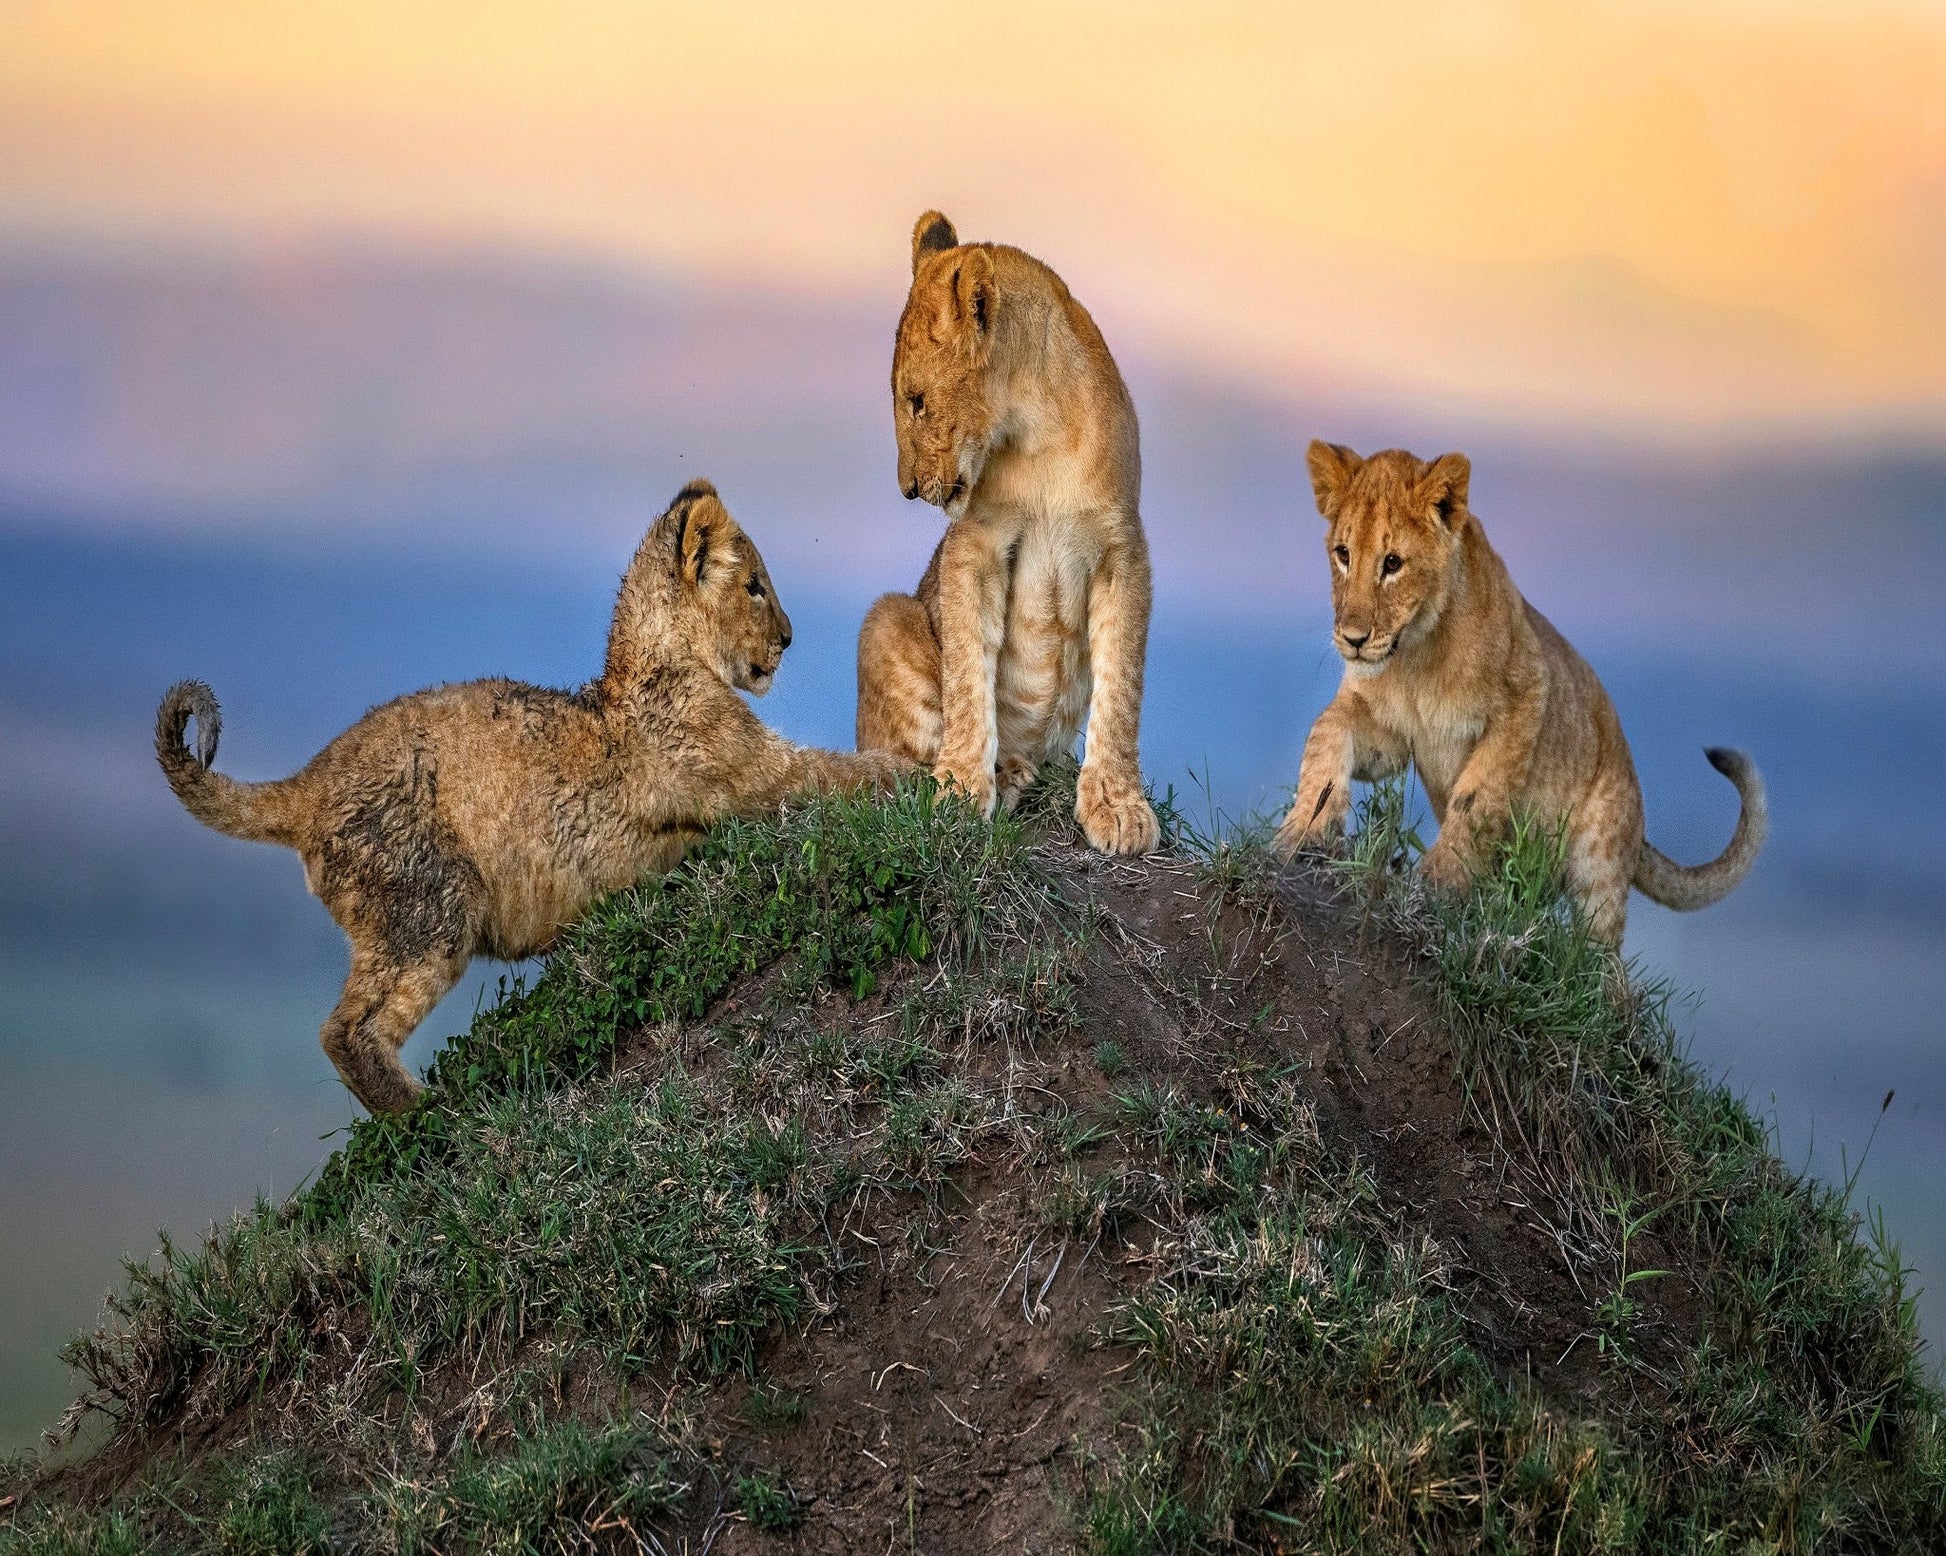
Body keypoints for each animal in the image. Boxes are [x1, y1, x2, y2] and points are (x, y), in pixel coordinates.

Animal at [157, 480, 907, 1113]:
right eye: (754, 586)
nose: (788, 638)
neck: (662, 662)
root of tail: (308, 783)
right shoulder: (759, 777)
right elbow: (848, 773)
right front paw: (919, 775)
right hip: (431, 910)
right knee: (348, 1030)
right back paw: (429, 1116)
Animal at [854, 210, 1160, 855]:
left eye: (917, 401)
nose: (907, 489)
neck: (1039, 432)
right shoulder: (976, 544)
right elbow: (970, 676)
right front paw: (961, 789)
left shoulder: (1123, 548)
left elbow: (1121, 687)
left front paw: (1117, 806)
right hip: (888, 617)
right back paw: (1000, 771)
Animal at [1273, 443, 1766, 946]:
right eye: (1343, 554)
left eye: (1392, 563)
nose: (1353, 639)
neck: (1416, 654)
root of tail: (1639, 827)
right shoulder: (1390, 735)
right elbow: (1326, 729)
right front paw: (1301, 832)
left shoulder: (1527, 694)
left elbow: (1477, 797)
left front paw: (1435, 883)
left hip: (1600, 863)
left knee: (1601, 958)